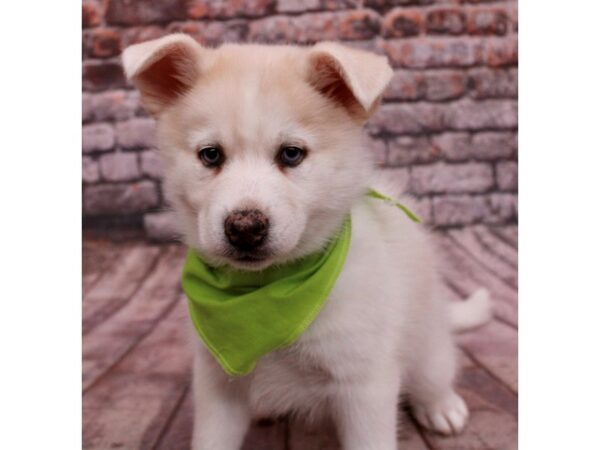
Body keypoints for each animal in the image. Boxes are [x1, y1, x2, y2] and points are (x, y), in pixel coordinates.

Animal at [122, 34, 492, 450]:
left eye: (291, 154)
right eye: (211, 155)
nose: (245, 228)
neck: (268, 290)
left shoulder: (364, 382)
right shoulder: (217, 383)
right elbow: (211, 439)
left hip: (426, 343)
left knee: (434, 374)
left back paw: (442, 406)